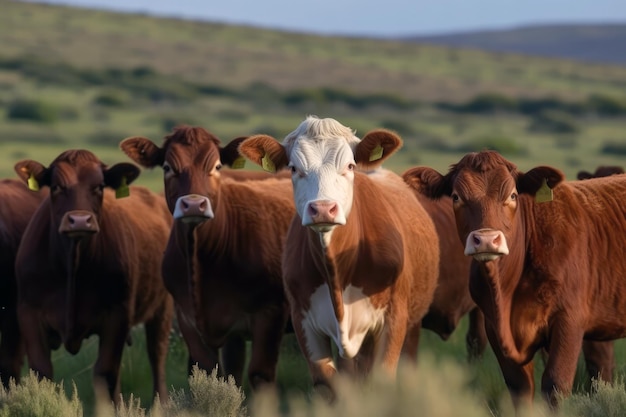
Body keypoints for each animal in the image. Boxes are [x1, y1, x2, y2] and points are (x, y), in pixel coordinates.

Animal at [120, 125, 294, 388]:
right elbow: (211, 372)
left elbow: (260, 374)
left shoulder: (271, 312)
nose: (194, 205)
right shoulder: (189, 319)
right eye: (167, 167)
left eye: (217, 166)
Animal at [236, 115, 436, 394]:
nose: (322, 209)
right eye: (293, 168)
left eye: (350, 166)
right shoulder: (304, 322)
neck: (337, 273)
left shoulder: (394, 319)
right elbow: (328, 385)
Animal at [402, 150, 626, 410]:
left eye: (512, 195)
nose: (486, 240)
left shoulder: (569, 322)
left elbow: (555, 386)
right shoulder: (495, 329)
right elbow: (520, 389)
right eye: (456, 197)